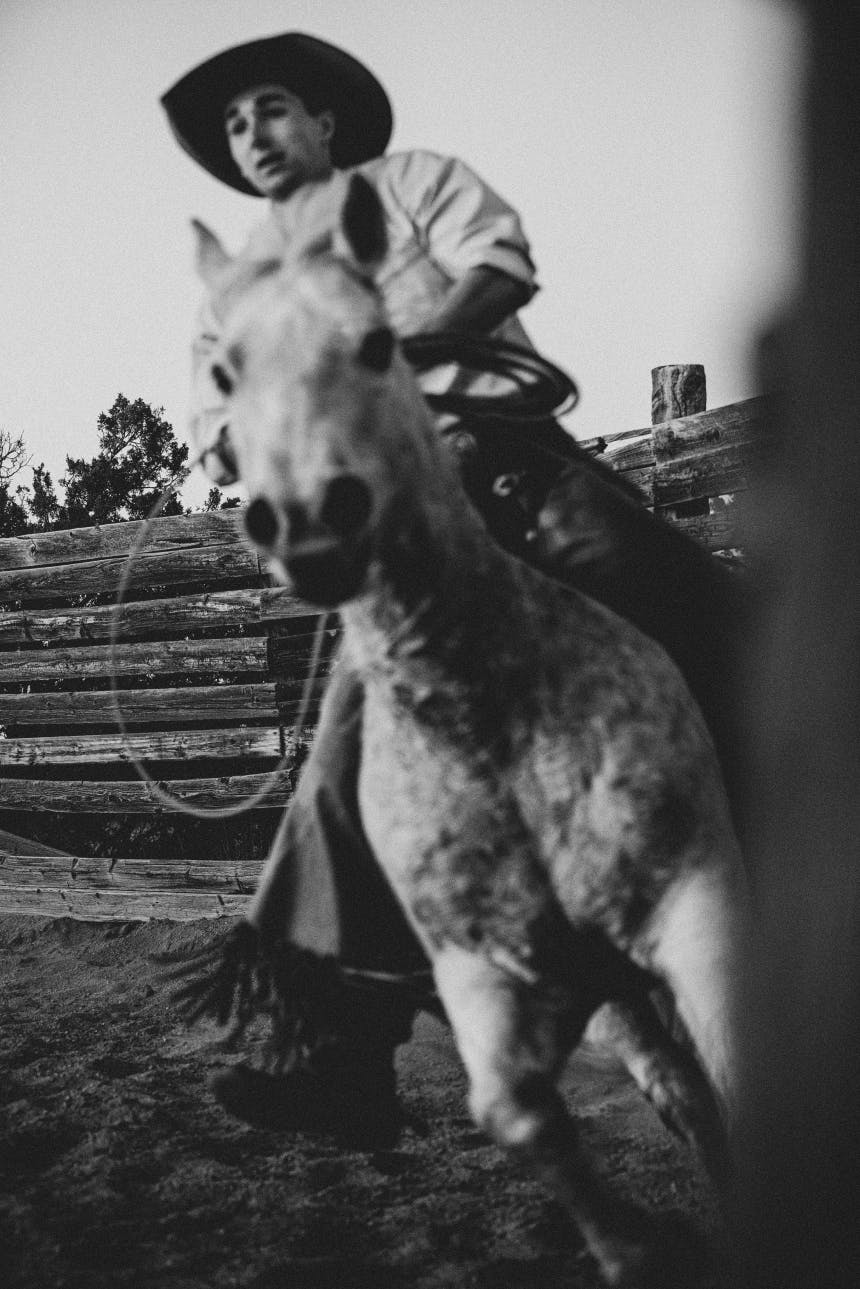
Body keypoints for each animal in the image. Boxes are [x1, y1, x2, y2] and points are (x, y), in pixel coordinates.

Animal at [193, 176, 747, 1283]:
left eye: (376, 343)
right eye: (226, 368)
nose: (311, 520)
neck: (489, 716)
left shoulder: (699, 901)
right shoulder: (489, 974)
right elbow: (514, 1113)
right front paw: (639, 1246)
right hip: (614, 996)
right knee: (676, 1092)